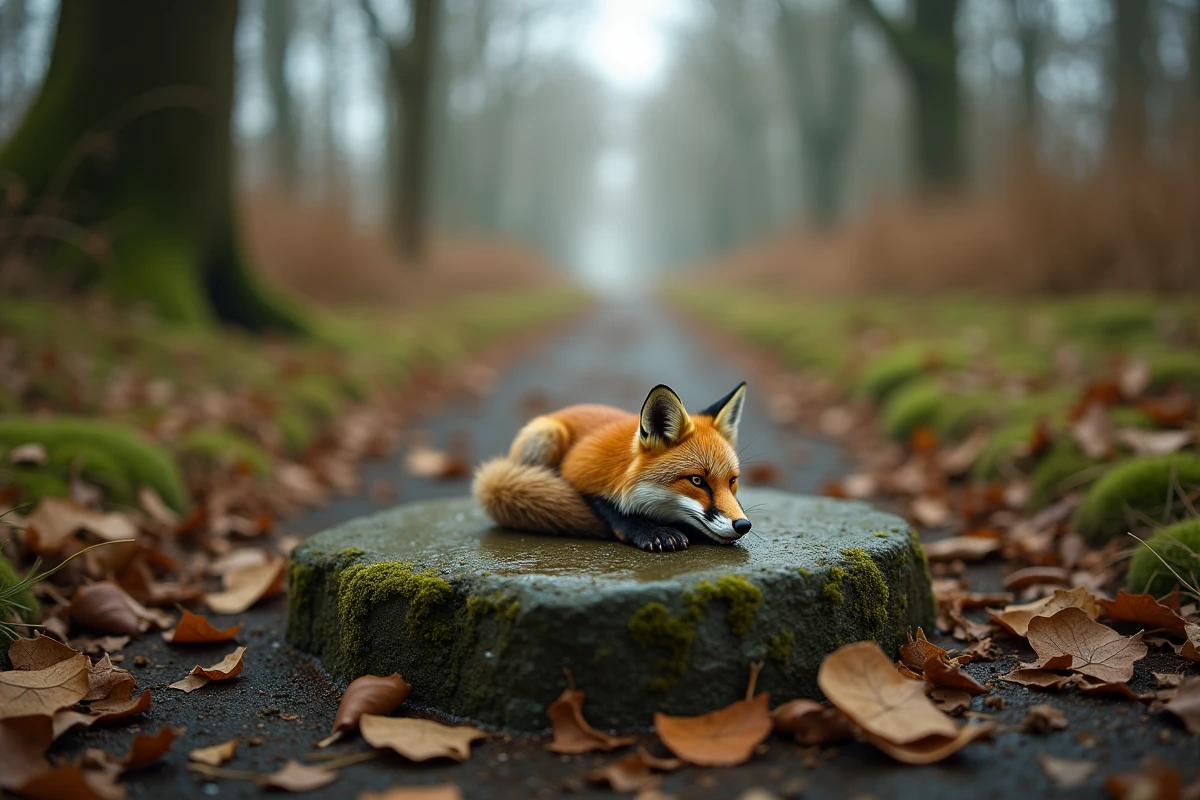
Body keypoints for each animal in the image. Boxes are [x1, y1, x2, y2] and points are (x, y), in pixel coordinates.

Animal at [472, 382, 751, 552]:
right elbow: (612, 510)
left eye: (732, 481)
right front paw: (651, 531)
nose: (743, 525)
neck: (623, 466)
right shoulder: (578, 471)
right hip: (545, 435)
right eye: (697, 480)